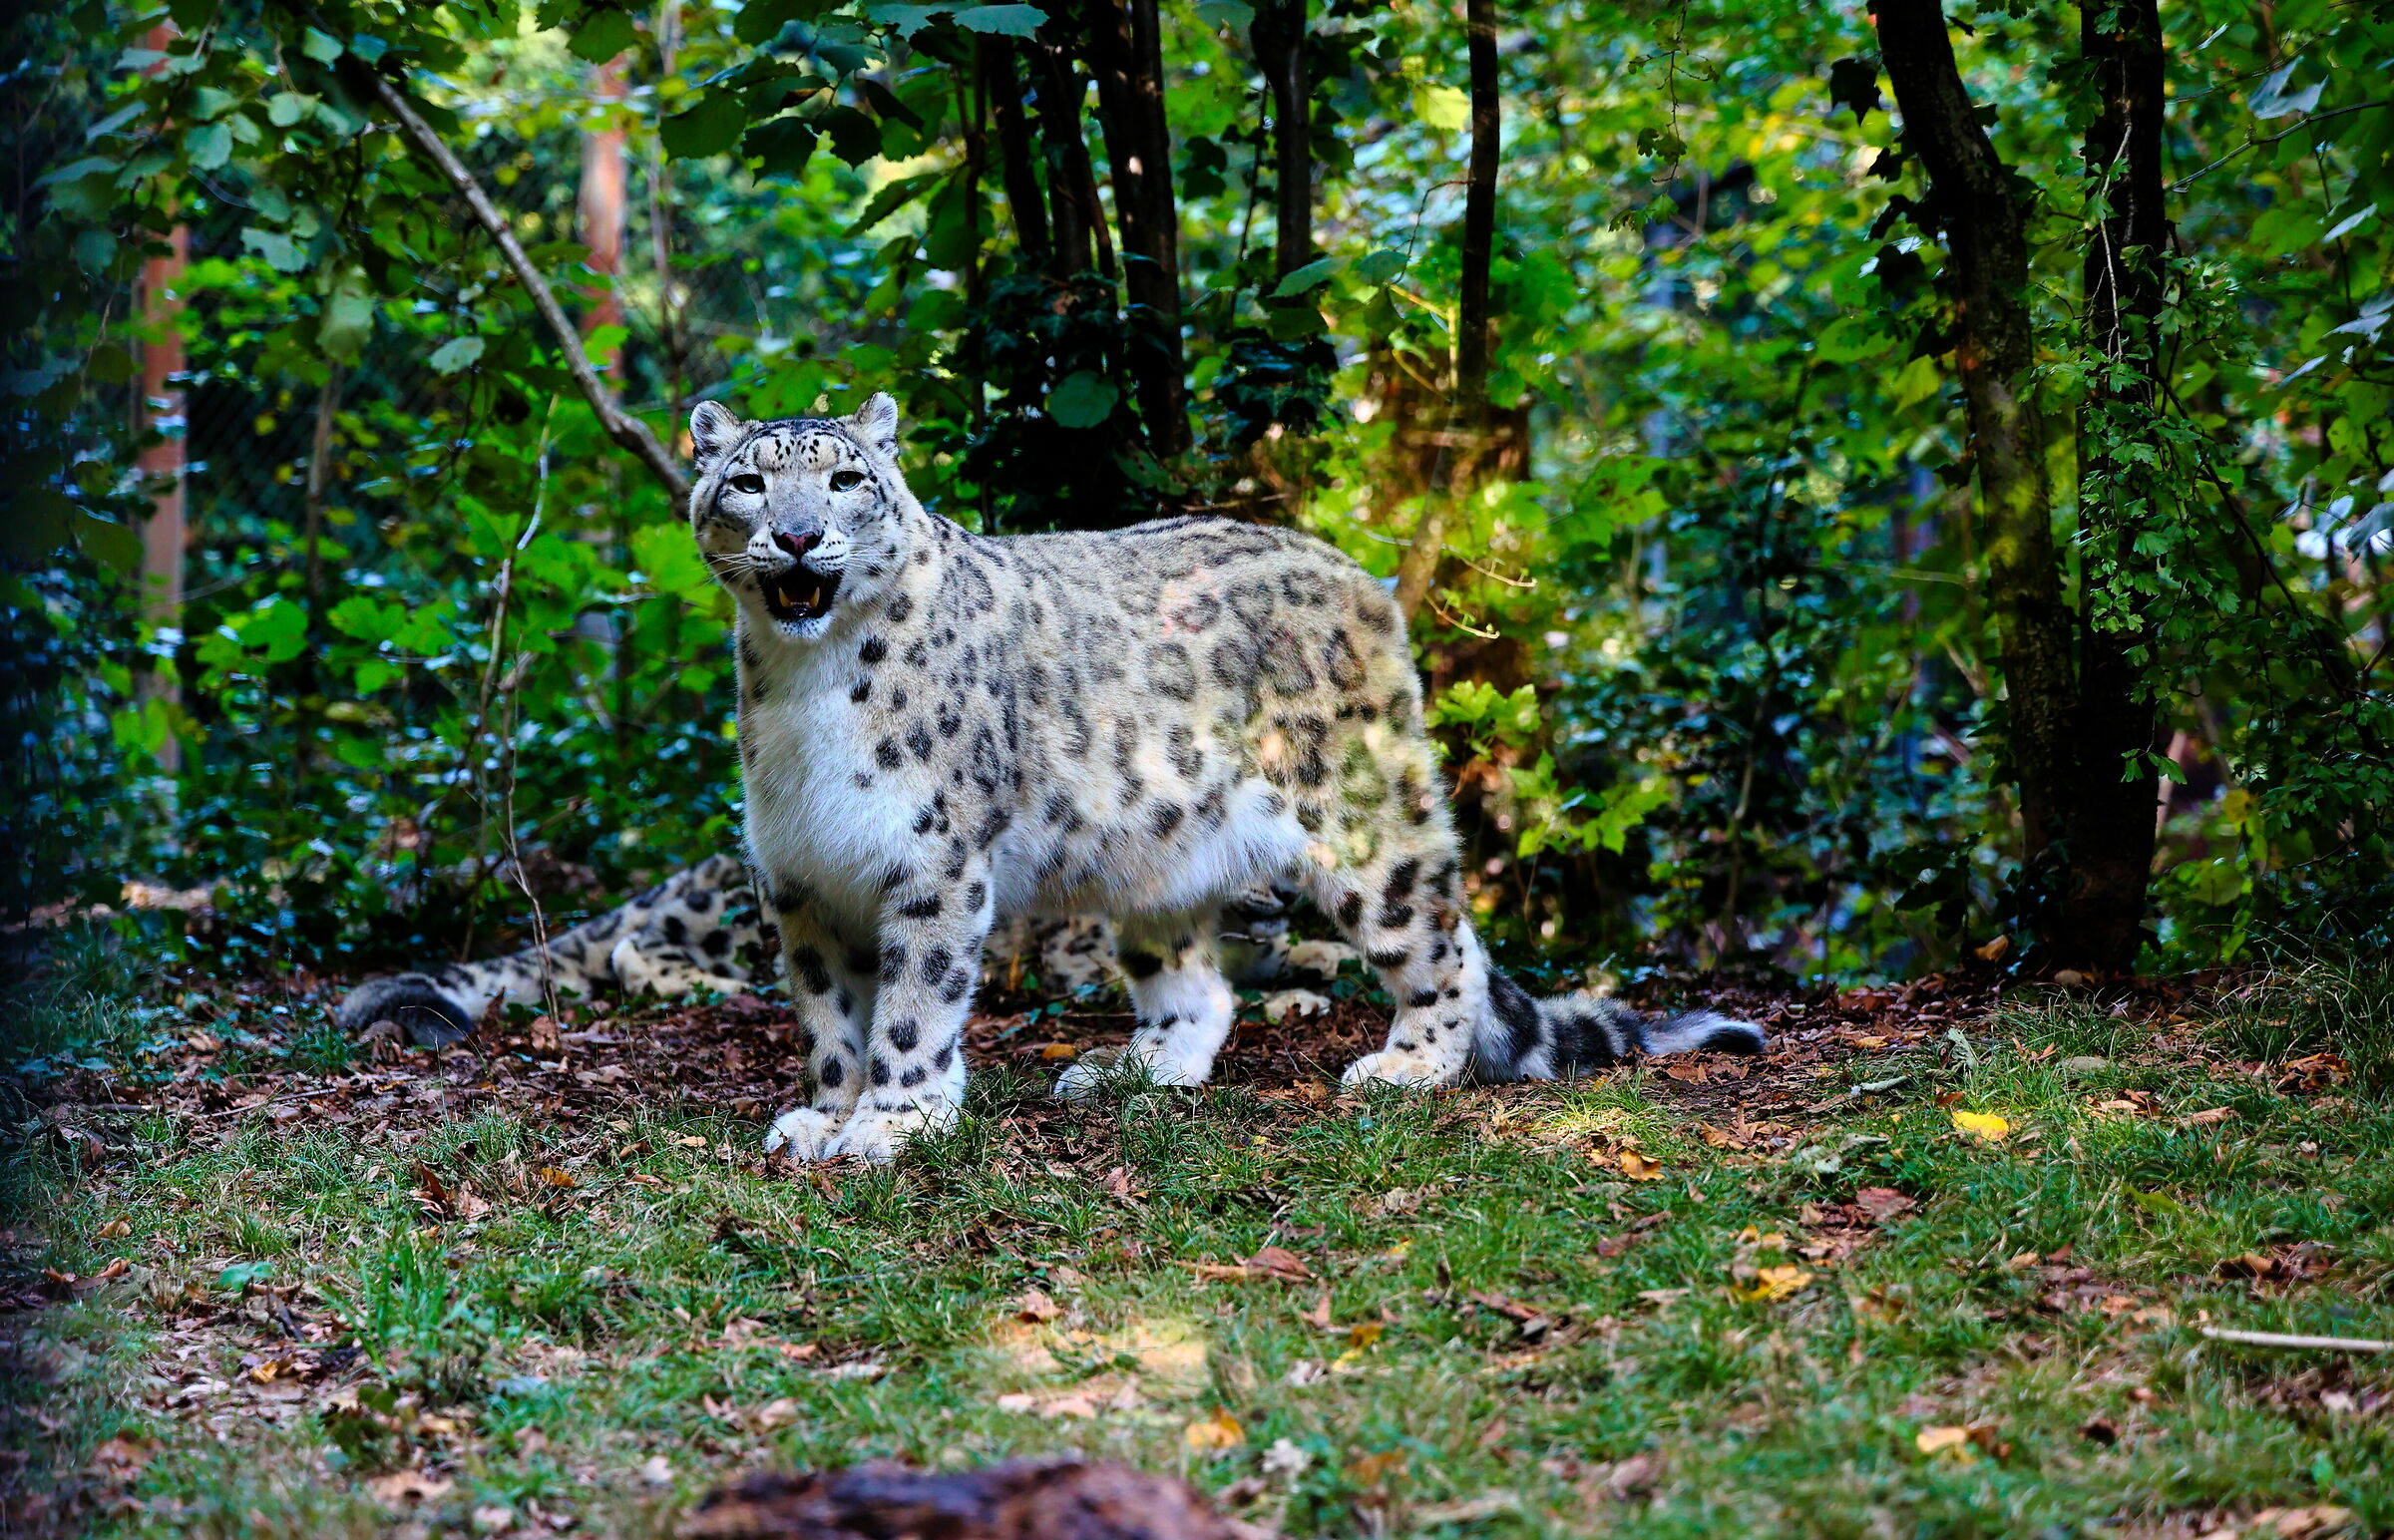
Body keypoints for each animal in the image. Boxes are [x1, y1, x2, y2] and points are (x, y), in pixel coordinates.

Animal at [678, 390, 1763, 1160]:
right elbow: (830, 1016)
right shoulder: (805, 877)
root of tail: (1356, 574)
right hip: (1151, 851)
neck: (806, 687)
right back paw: (1130, 1069)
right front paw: (824, 1116)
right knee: (1199, 986)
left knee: (1442, 939)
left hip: (1361, 818)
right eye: (747, 484)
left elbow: (912, 1004)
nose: (799, 536)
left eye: (846, 478)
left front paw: (891, 1123)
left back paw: (1408, 1067)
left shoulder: (932, 859)